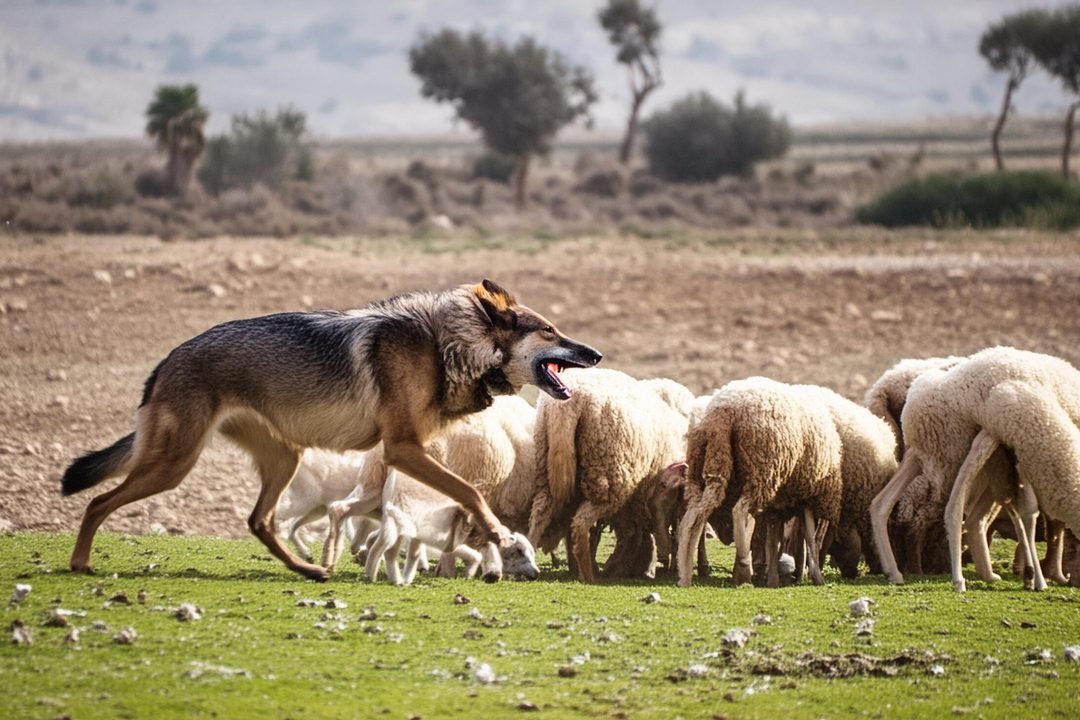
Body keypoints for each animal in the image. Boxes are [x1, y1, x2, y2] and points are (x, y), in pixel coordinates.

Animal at [61, 279, 601, 580]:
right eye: (549, 330)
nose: (596, 354)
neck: (446, 346)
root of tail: (165, 363)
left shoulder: (406, 453)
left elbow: (457, 497)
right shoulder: (402, 448)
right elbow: (469, 492)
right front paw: (496, 536)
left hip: (283, 460)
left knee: (259, 522)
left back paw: (310, 570)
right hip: (174, 465)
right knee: (96, 502)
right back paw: (81, 563)